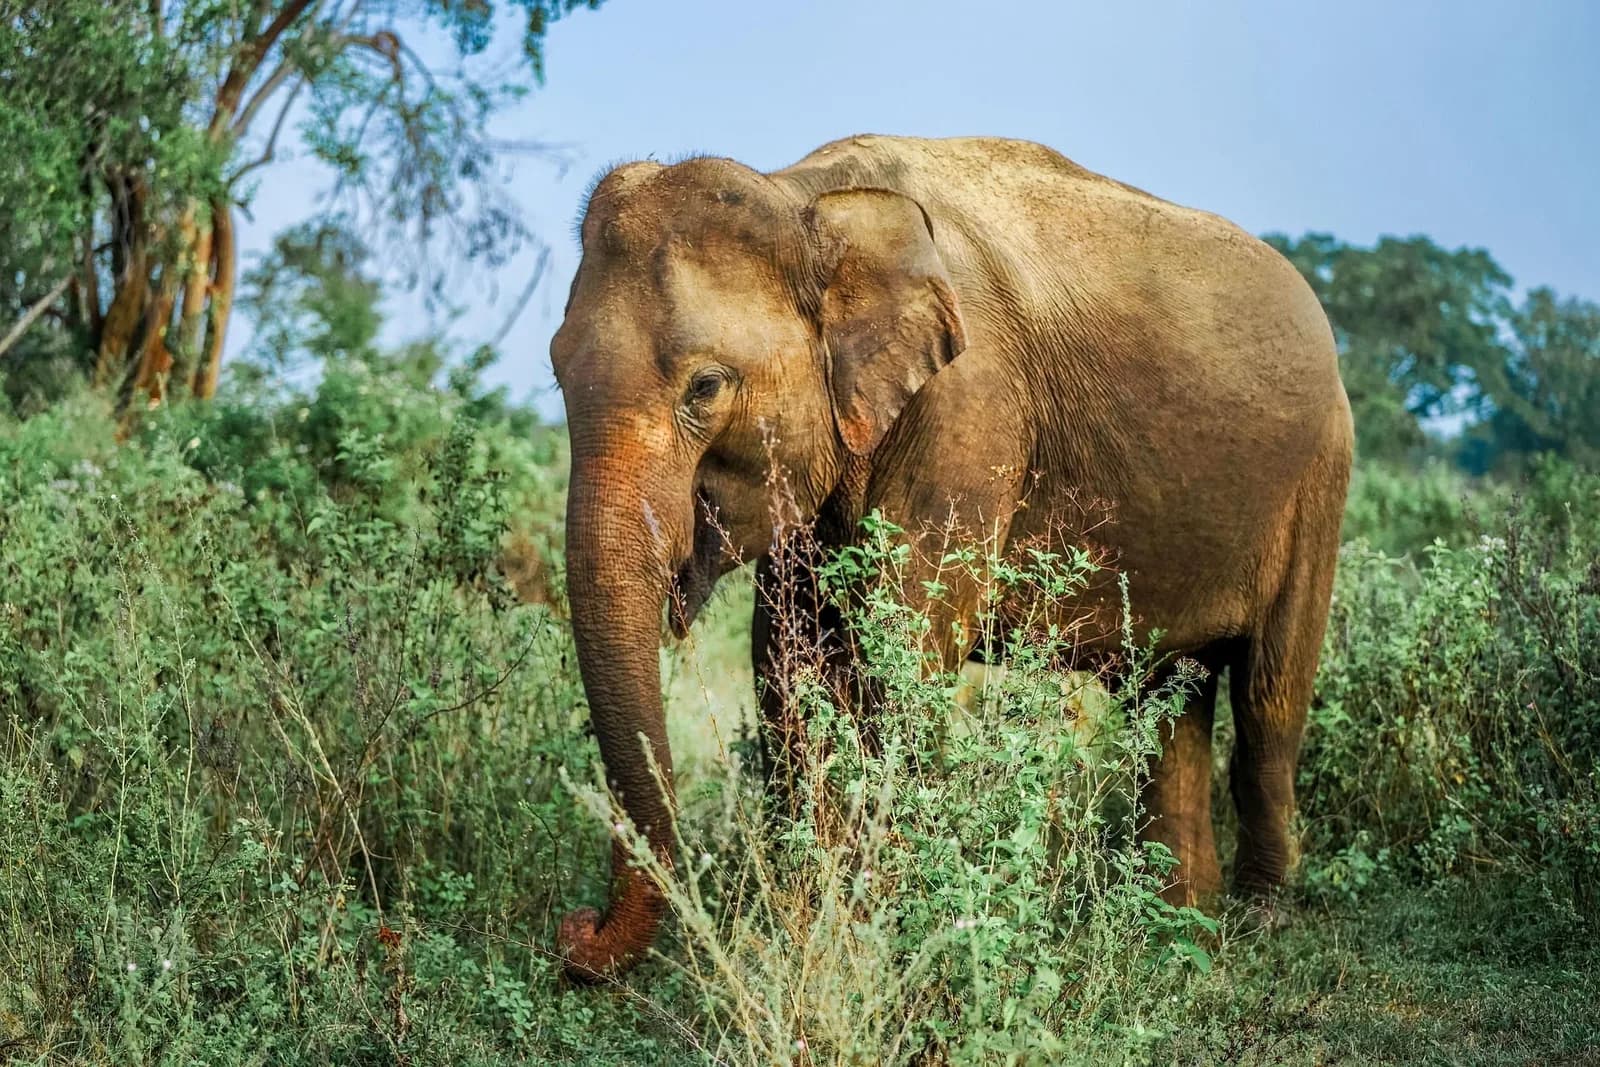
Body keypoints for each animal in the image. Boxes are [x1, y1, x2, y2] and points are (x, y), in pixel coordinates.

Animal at [550, 134, 1353, 980]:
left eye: (705, 386)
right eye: (556, 370)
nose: (577, 929)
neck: (807, 201)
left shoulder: (971, 414)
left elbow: (900, 657)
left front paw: (866, 940)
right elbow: (788, 666)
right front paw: (813, 931)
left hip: (1321, 477)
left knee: (1268, 703)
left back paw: (1257, 923)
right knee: (1170, 695)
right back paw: (1176, 929)